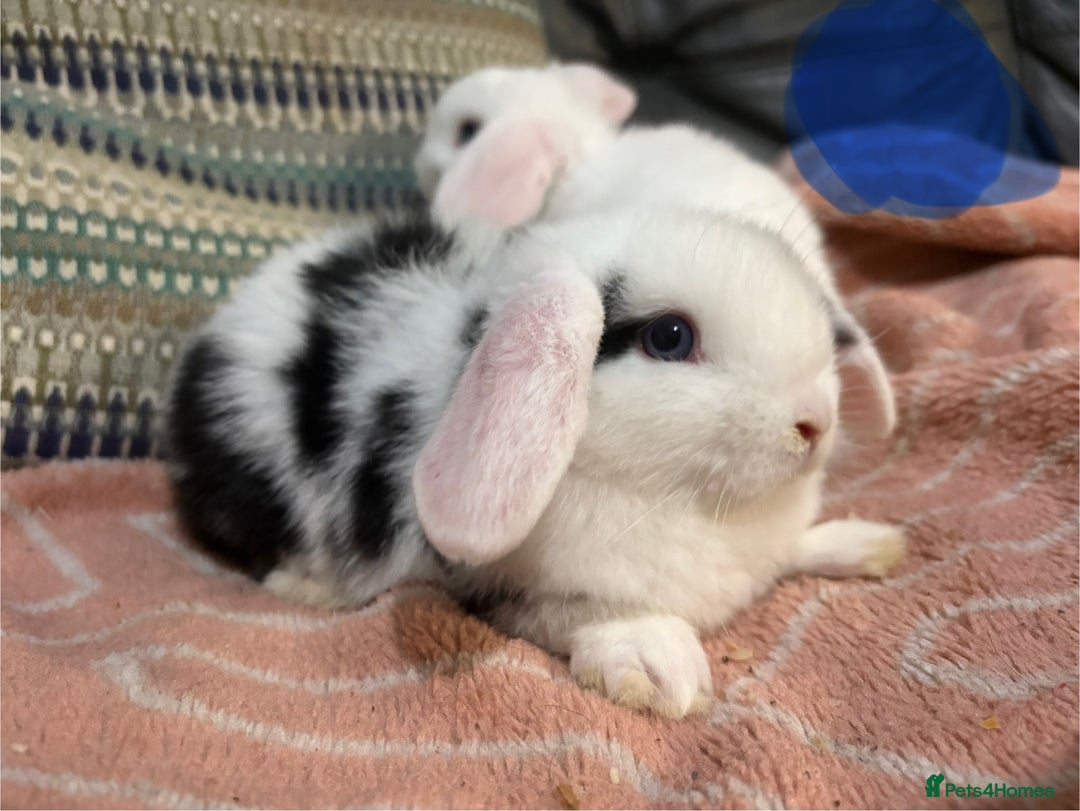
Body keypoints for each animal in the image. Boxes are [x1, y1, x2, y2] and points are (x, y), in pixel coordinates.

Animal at [166, 203, 906, 719]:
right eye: (670, 336)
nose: (814, 423)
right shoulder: (507, 595)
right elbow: (589, 614)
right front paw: (657, 668)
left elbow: (796, 549)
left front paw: (870, 544)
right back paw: (306, 586)